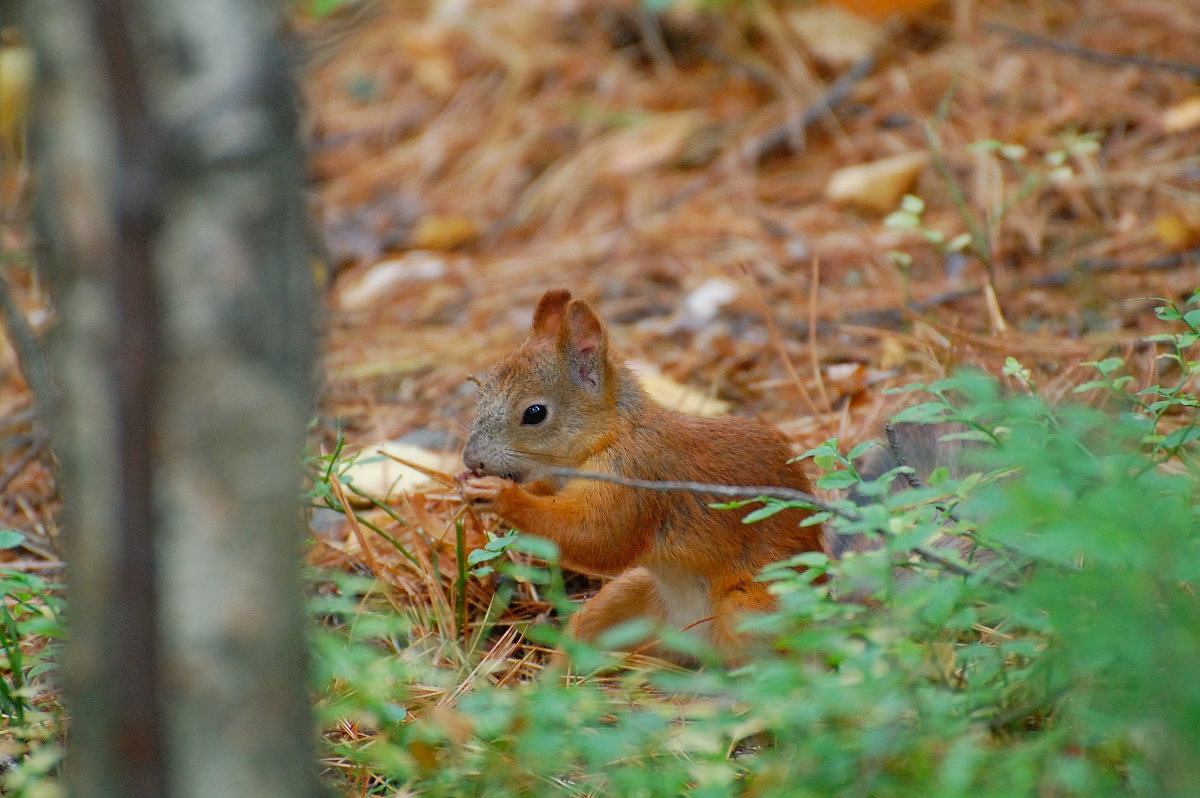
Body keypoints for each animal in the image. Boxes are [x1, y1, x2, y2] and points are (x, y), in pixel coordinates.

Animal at [453, 289, 820, 662]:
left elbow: (598, 537)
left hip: (754, 612)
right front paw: (467, 482)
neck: (610, 437)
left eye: (535, 413)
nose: (472, 459)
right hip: (624, 602)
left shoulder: (635, 477)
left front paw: (501, 495)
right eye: (481, 395)